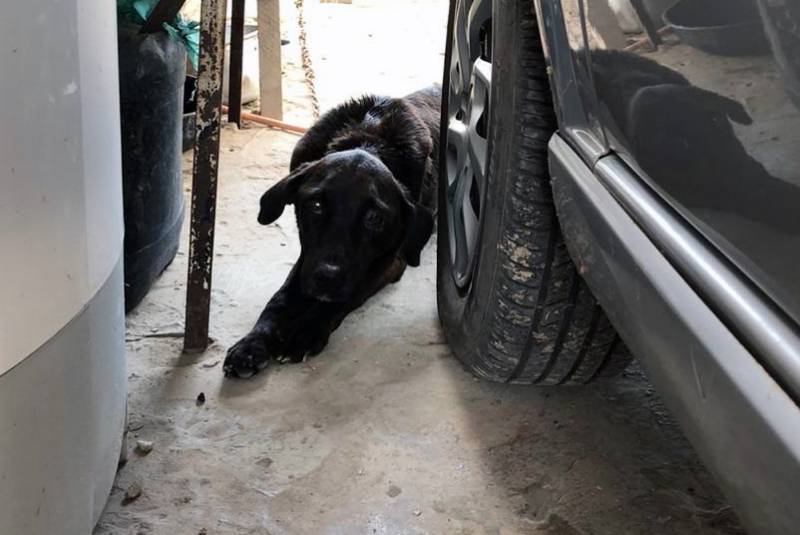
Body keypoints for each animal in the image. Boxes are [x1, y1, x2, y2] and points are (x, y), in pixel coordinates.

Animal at [222, 87, 440, 376]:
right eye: (315, 206)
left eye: (374, 218)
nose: (327, 277)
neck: (369, 137)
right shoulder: (308, 258)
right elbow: (279, 299)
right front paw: (250, 345)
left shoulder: (391, 261)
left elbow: (345, 295)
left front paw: (305, 331)